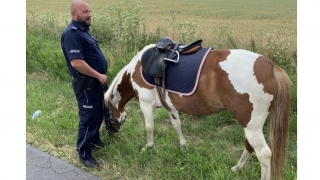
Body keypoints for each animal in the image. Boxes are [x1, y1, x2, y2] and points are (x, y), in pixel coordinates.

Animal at [104, 44, 292, 180]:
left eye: (105, 115)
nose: (110, 134)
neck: (136, 69)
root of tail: (271, 67)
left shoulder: (146, 104)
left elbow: (149, 127)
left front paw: (148, 147)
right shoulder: (170, 106)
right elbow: (176, 125)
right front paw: (183, 146)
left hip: (251, 125)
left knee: (264, 154)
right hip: (251, 125)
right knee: (249, 145)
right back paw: (237, 168)